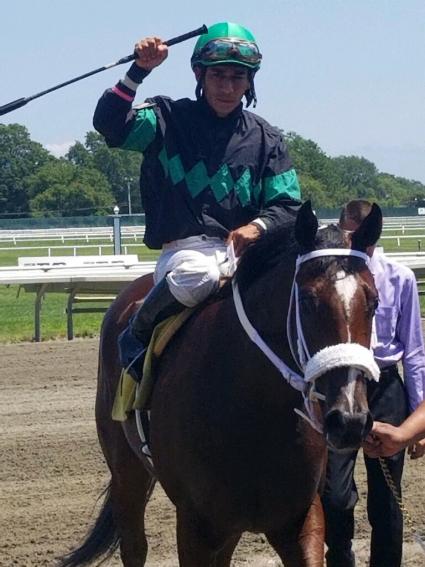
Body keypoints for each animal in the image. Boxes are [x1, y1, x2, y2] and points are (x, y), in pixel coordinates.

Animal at [58, 203, 380, 567]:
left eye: (373, 302)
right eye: (309, 301)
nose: (349, 419)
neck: (255, 414)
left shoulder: (300, 520)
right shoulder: (195, 525)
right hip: (127, 470)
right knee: (134, 545)